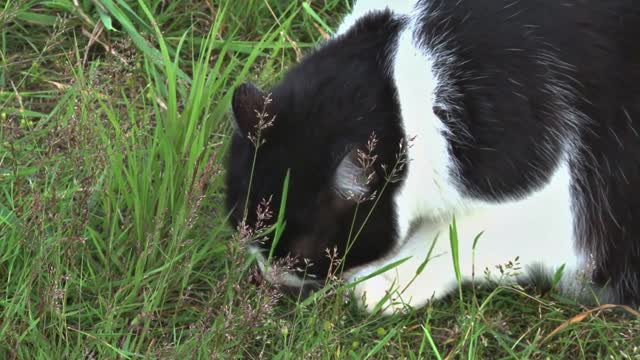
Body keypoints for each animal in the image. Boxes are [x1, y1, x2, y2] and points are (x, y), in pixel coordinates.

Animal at [224, 0, 640, 314]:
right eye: (243, 229)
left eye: (302, 255)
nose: (270, 280)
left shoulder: (556, 204)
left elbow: (457, 236)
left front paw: (382, 282)